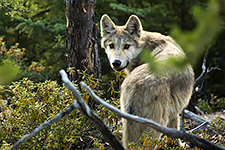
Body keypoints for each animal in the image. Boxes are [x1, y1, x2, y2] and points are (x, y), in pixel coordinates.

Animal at [99, 14, 194, 147]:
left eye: (127, 46)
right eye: (111, 45)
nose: (116, 63)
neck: (146, 48)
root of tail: (136, 85)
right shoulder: (174, 113)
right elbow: (175, 134)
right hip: (156, 126)